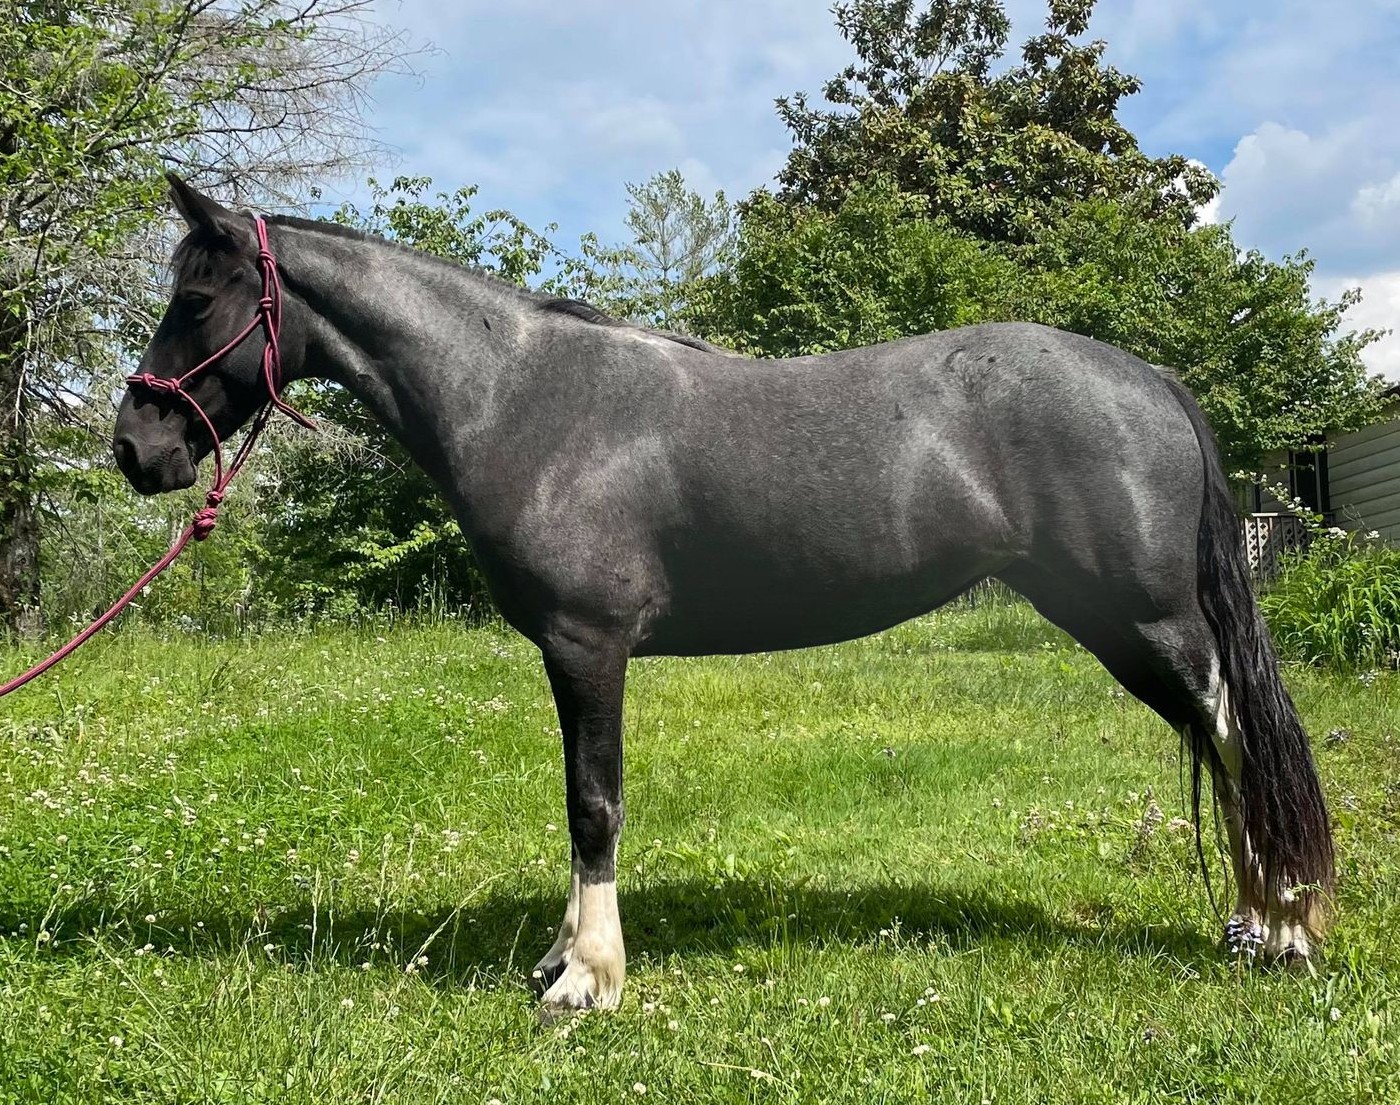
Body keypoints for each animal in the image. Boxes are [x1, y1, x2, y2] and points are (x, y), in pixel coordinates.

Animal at [112, 175, 1335, 1015]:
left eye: (195, 298)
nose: (135, 447)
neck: (518, 395)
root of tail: (1148, 378)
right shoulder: (568, 655)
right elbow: (577, 801)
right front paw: (560, 955)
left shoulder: (589, 644)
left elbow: (593, 804)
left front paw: (586, 980)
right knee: (1223, 745)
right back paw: (1250, 921)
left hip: (1146, 623)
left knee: (1241, 740)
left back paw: (1284, 929)